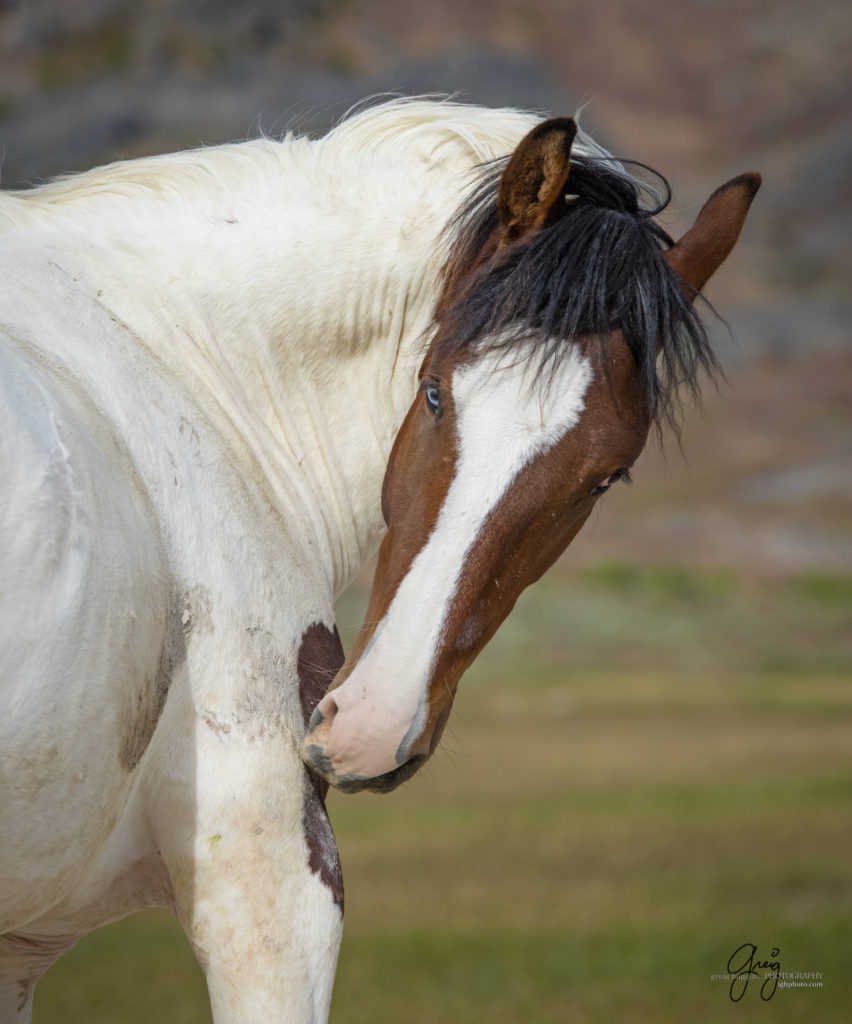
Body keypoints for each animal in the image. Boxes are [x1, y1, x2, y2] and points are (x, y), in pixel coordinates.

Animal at [0, 97, 757, 1024]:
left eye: (606, 477)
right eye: (433, 391)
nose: (370, 723)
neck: (164, 351)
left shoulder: (19, 951)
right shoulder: (268, 875)